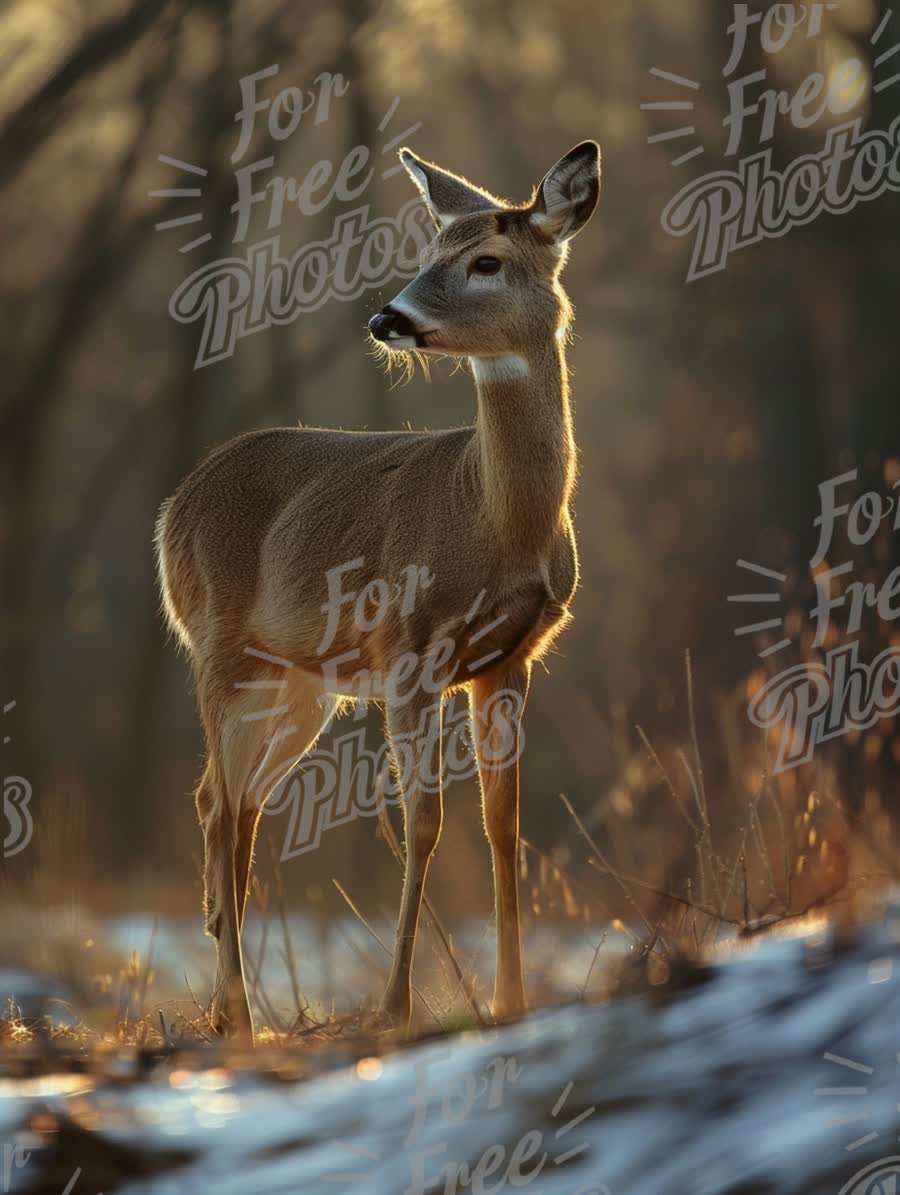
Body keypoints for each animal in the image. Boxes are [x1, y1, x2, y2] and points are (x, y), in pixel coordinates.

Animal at [156, 139, 600, 1037]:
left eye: (485, 260)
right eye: (430, 249)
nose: (385, 319)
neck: (494, 519)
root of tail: (173, 507)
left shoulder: (512, 658)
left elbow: (503, 825)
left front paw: (512, 999)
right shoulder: (406, 649)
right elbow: (422, 822)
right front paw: (394, 1006)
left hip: (298, 685)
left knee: (234, 802)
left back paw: (230, 1004)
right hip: (217, 644)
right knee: (220, 803)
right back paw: (241, 1013)